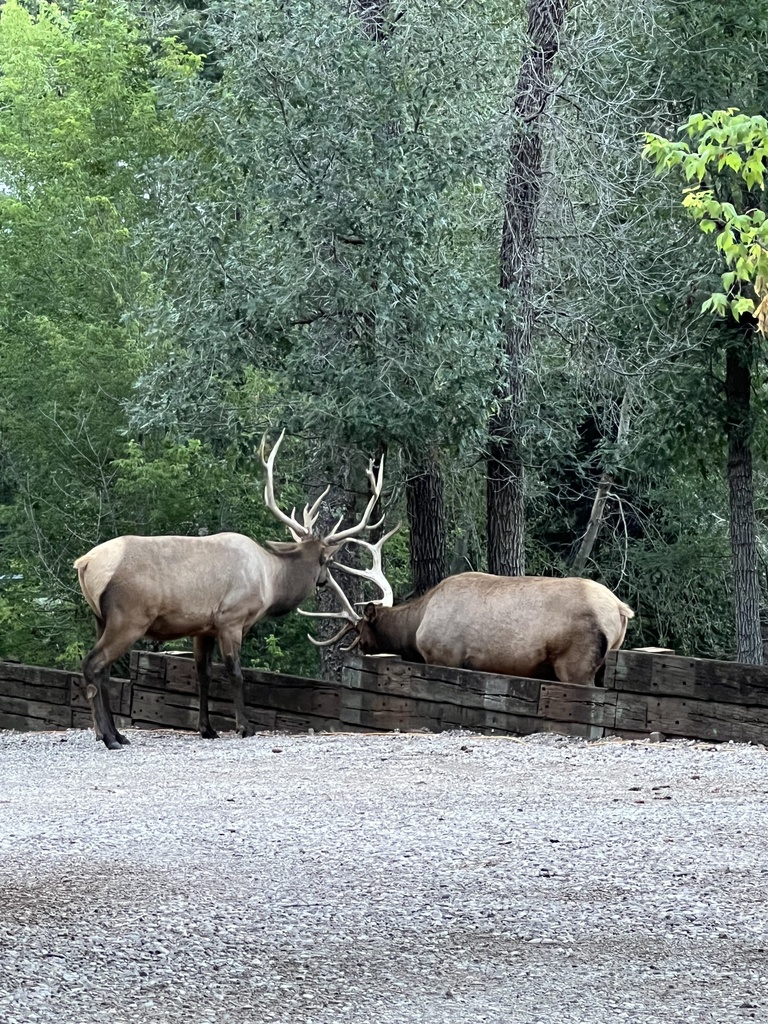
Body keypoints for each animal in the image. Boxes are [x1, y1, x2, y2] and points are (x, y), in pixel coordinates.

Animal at [75, 428, 387, 749]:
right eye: (327, 560)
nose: (324, 579)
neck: (270, 583)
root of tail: (85, 563)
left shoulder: (203, 628)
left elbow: (203, 675)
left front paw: (207, 728)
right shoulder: (231, 619)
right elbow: (235, 673)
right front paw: (245, 726)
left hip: (100, 618)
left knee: (103, 670)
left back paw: (117, 734)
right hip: (129, 617)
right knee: (93, 663)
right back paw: (109, 737)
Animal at [303, 532, 634, 684]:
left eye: (360, 631)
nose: (359, 649)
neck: (415, 627)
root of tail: (621, 609)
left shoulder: (443, 656)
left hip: (575, 663)